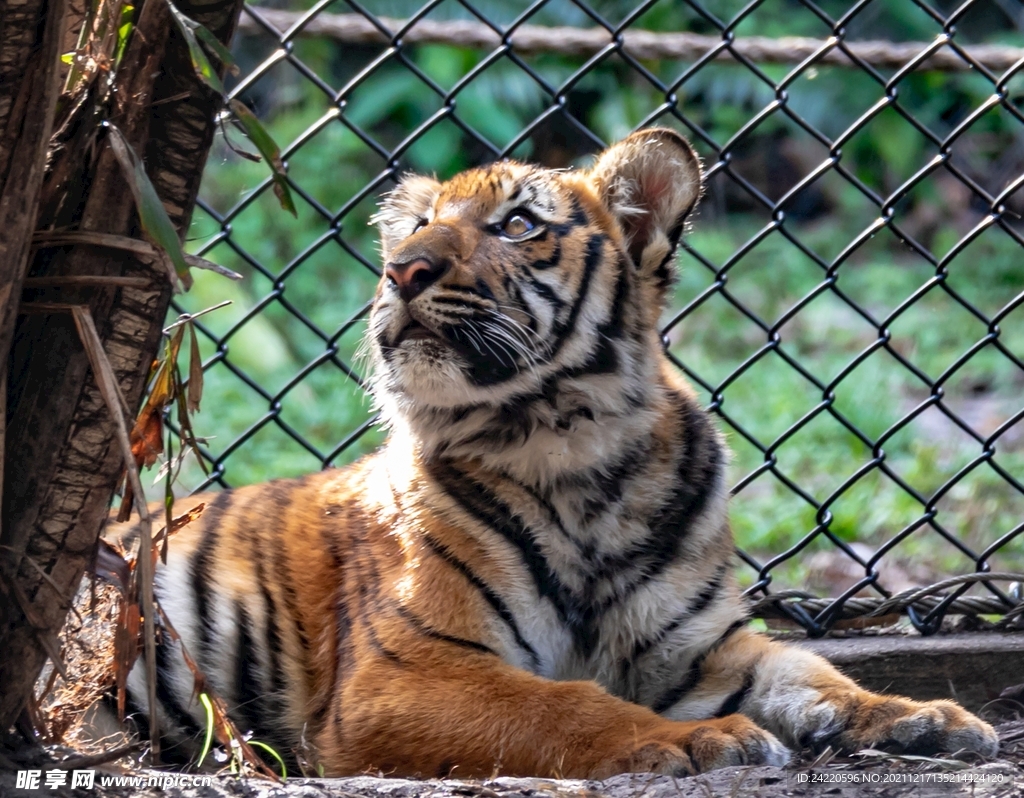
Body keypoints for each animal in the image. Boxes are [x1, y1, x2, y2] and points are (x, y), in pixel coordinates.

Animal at [111, 128, 998, 779]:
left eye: (517, 225)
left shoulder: (700, 648)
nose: (401, 270)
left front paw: (926, 719)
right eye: (419, 228)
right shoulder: (403, 672)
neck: (577, 454)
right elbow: (564, 704)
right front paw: (698, 742)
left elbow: (814, 674)